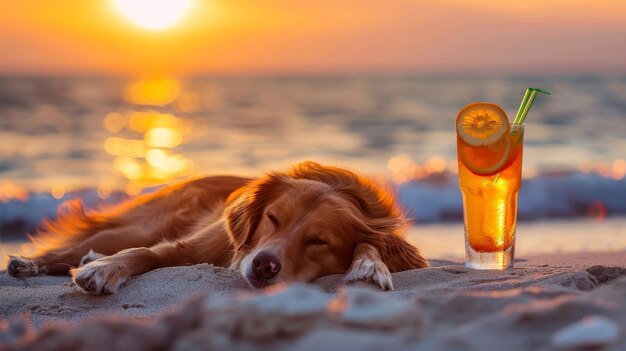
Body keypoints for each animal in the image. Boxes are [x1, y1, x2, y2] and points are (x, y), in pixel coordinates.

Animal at [8, 162, 428, 294]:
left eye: (319, 241)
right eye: (273, 219)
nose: (263, 265)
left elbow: (373, 245)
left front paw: (370, 265)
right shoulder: (187, 247)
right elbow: (146, 254)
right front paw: (105, 270)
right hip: (138, 225)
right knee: (74, 247)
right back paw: (31, 264)